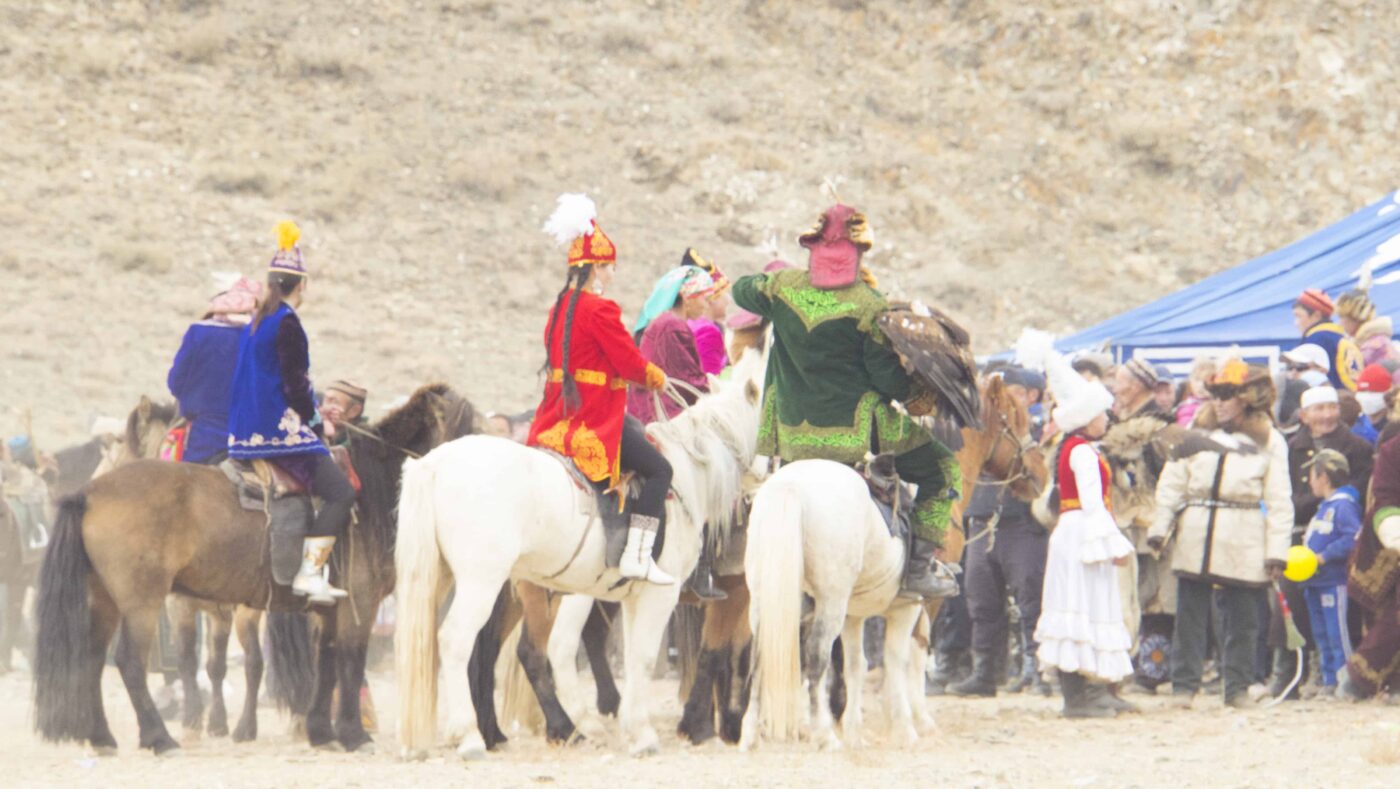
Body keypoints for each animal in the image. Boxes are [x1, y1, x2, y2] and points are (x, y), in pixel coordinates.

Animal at [31, 386, 470, 755]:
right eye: (470, 428)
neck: (370, 489)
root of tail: (89, 494)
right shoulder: (357, 604)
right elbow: (350, 659)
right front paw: (352, 734)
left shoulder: (328, 609)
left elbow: (326, 662)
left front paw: (321, 732)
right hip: (142, 602)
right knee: (128, 662)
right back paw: (159, 737)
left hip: (105, 598)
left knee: (91, 658)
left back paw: (103, 737)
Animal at [394, 351, 767, 755]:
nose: (768, 468)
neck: (689, 472)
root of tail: (433, 463)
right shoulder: (668, 594)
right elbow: (665, 656)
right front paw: (664, 732)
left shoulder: (637, 597)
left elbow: (639, 659)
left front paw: (640, 728)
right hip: (486, 582)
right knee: (463, 641)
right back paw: (477, 735)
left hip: (450, 579)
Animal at [739, 461, 924, 749]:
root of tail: (790, 485)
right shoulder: (907, 607)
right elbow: (896, 662)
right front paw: (905, 729)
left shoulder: (853, 616)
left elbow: (856, 665)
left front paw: (854, 731)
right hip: (831, 601)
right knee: (816, 658)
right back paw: (823, 734)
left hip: (764, 599)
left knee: (759, 658)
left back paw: (750, 734)